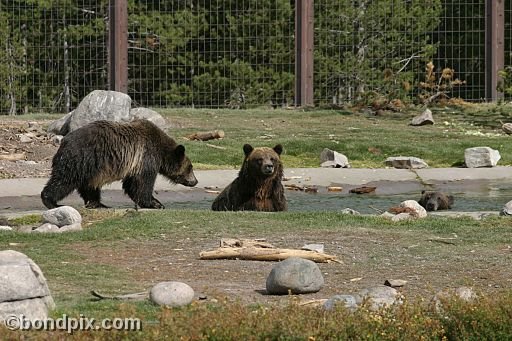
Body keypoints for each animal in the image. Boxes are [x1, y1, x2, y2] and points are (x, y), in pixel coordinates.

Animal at [41, 119, 198, 210]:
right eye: (190, 167)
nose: (195, 181)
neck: (161, 153)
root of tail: (64, 141)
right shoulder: (146, 157)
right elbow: (142, 183)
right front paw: (156, 203)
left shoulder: (134, 163)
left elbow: (131, 185)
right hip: (82, 159)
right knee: (64, 180)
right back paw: (51, 201)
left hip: (91, 168)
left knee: (89, 185)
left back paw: (98, 203)